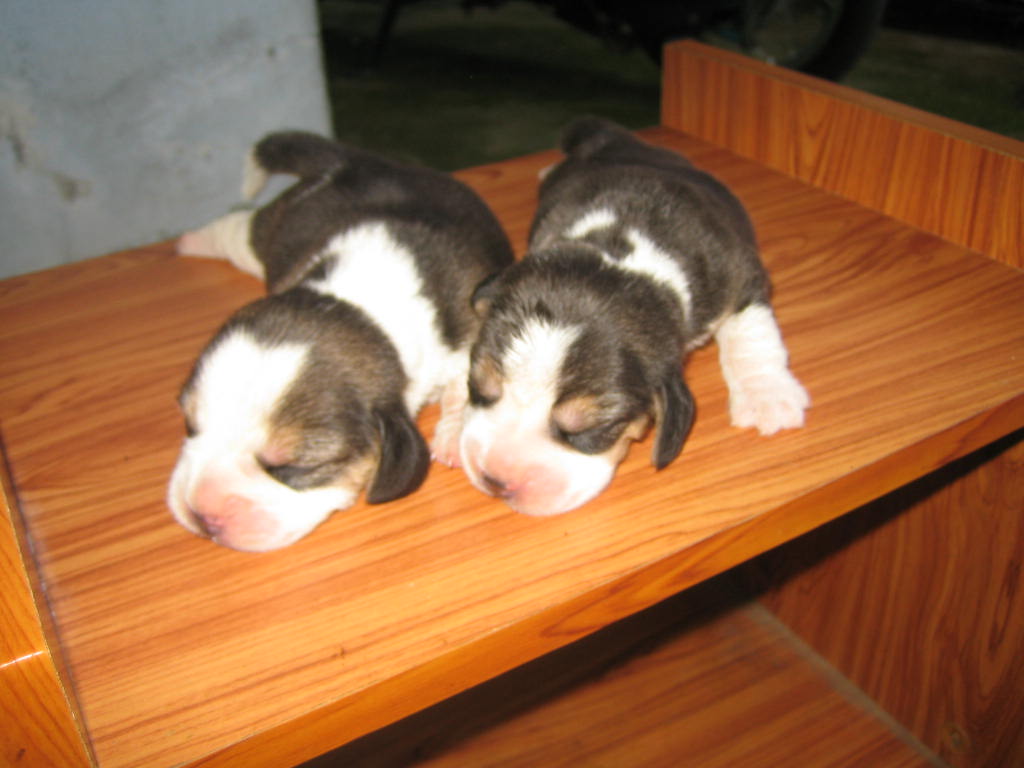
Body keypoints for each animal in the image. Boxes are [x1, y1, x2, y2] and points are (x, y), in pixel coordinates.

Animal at [168, 131, 513, 551]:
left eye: (290, 466)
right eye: (190, 426)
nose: (200, 514)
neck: (354, 303)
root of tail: (357, 160)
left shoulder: (467, 332)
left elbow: (461, 387)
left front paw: (450, 437)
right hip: (269, 235)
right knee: (235, 229)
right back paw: (191, 240)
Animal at [458, 117, 809, 516]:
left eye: (589, 430)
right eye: (478, 387)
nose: (495, 480)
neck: (622, 252)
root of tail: (615, 139)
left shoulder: (740, 273)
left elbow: (752, 332)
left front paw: (768, 396)